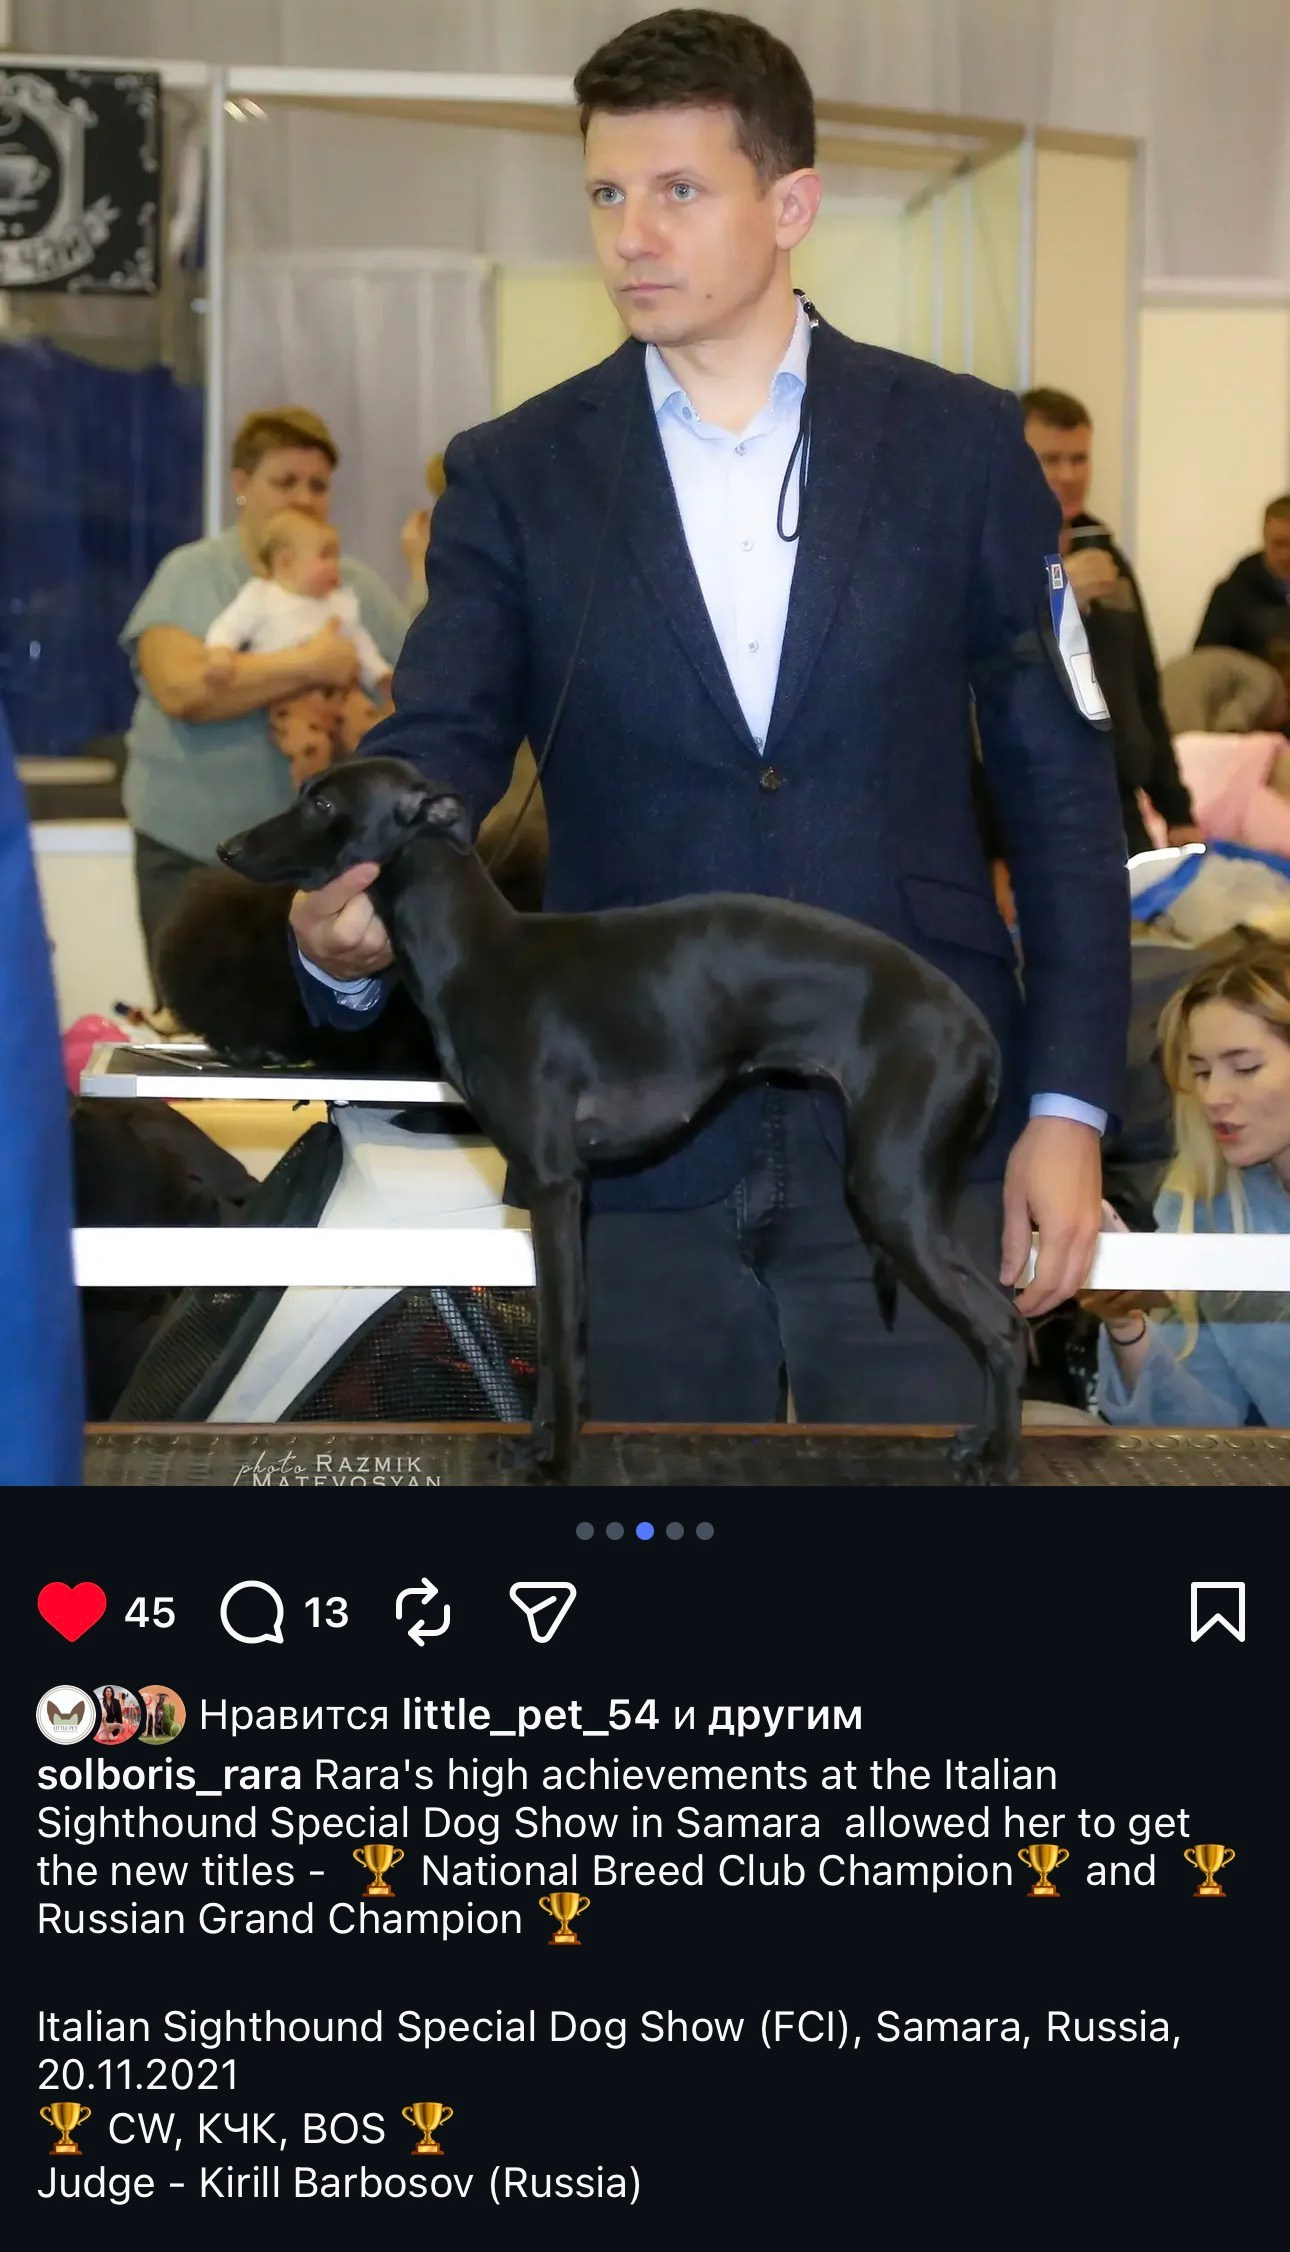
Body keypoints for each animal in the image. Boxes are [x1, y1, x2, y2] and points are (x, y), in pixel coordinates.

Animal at [220, 757, 1027, 1484]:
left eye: (324, 803)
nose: (228, 850)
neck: (477, 953)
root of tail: (979, 1030)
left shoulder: (553, 1183)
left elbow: (556, 1340)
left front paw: (555, 1463)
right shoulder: (567, 1194)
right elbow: (567, 1338)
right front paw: (539, 1445)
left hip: (891, 1190)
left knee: (1006, 1328)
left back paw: (999, 1456)